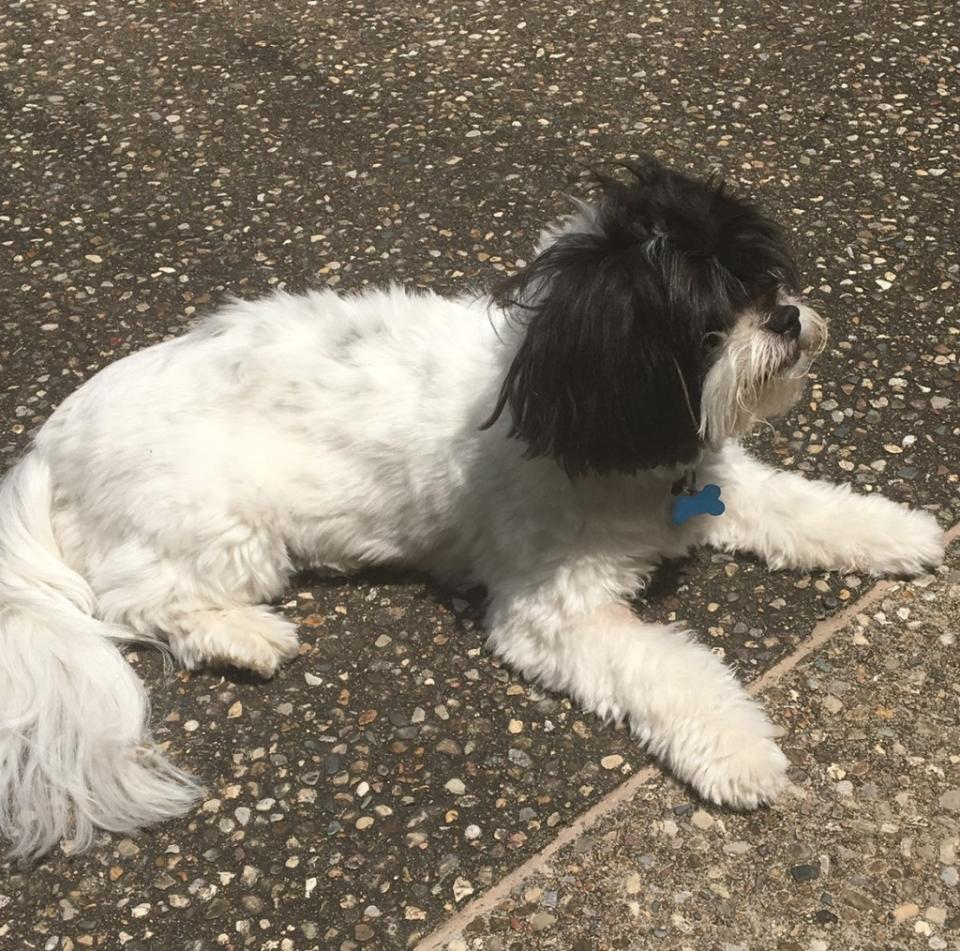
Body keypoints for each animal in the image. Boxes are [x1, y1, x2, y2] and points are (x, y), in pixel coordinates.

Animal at [0, 154, 944, 856]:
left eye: (763, 282)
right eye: (710, 320)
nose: (785, 316)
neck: (572, 410)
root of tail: (50, 445)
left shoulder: (710, 484)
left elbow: (805, 506)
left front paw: (898, 531)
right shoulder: (554, 613)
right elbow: (672, 669)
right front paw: (741, 749)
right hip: (225, 529)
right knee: (138, 599)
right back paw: (245, 636)